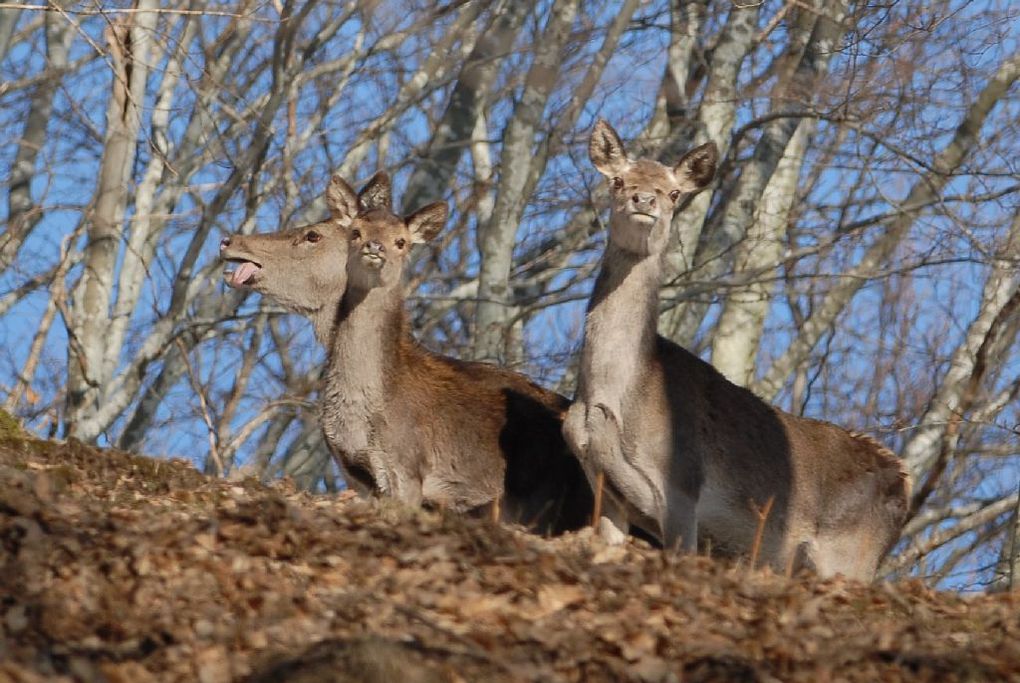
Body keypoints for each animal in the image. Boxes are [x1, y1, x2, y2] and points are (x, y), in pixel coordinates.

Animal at [563, 120, 913, 579]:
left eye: (674, 193)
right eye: (618, 181)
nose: (644, 200)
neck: (613, 396)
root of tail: (904, 484)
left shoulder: (682, 486)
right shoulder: (603, 485)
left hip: (851, 554)